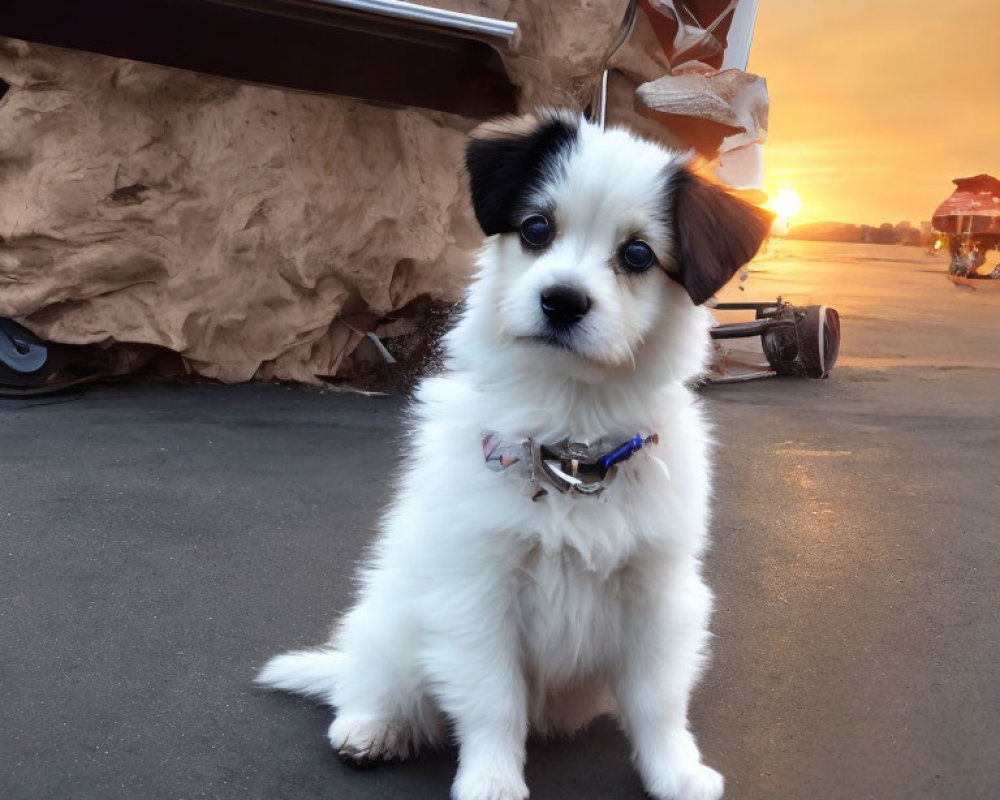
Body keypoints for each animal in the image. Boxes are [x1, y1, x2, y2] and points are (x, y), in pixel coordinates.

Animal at [258, 111, 772, 800]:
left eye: (638, 254)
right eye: (535, 228)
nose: (562, 300)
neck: (571, 447)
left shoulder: (658, 592)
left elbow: (658, 699)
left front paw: (676, 771)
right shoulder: (476, 592)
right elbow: (492, 700)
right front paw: (492, 780)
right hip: (395, 616)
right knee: (374, 677)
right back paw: (370, 726)